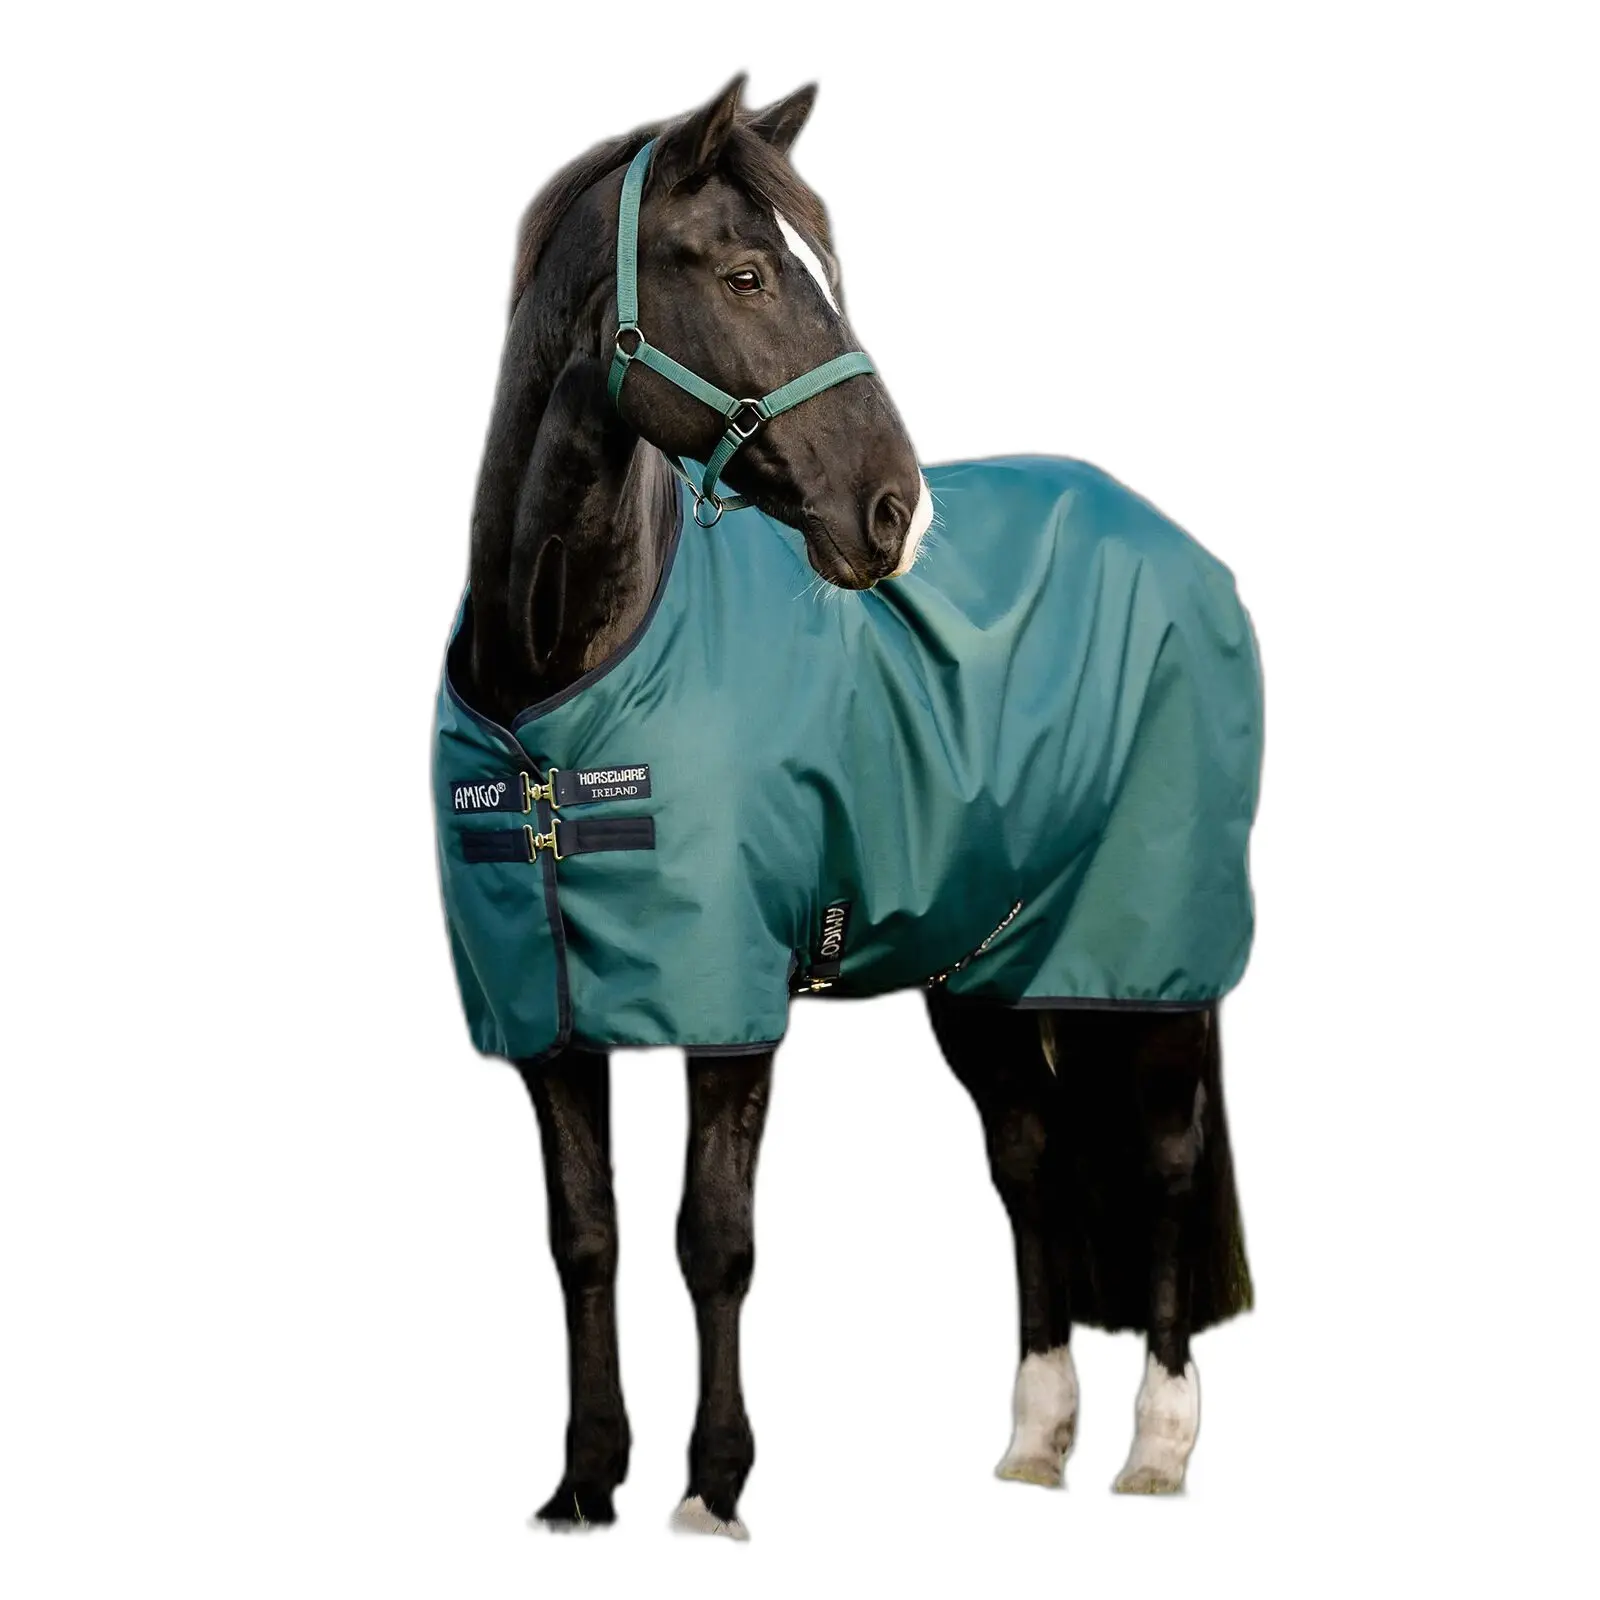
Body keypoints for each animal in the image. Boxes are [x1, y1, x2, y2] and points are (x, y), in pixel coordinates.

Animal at [436, 75, 1259, 1537]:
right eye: (748, 274)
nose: (893, 513)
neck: (557, 695)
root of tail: (1184, 550)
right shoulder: (545, 1014)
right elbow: (584, 1237)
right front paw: (584, 1482)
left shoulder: (731, 1001)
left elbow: (714, 1238)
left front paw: (712, 1488)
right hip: (992, 969)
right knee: (1030, 1160)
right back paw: (1035, 1438)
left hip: (1152, 958)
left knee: (1163, 1162)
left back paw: (1157, 1447)